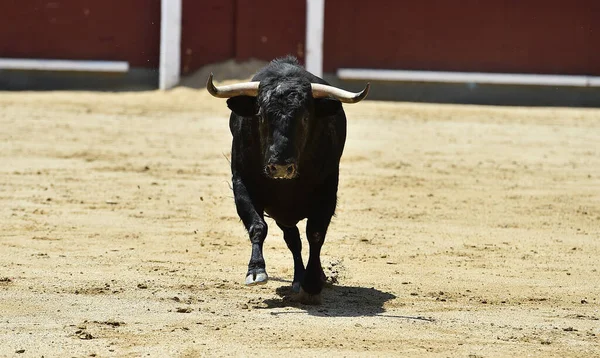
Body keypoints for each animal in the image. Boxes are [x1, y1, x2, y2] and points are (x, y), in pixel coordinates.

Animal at [207, 56, 370, 304]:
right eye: (262, 116)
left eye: (305, 117)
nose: (281, 166)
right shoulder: (242, 183)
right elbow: (257, 226)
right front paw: (256, 271)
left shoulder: (327, 191)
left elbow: (315, 234)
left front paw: (312, 284)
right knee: (293, 240)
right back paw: (297, 279)